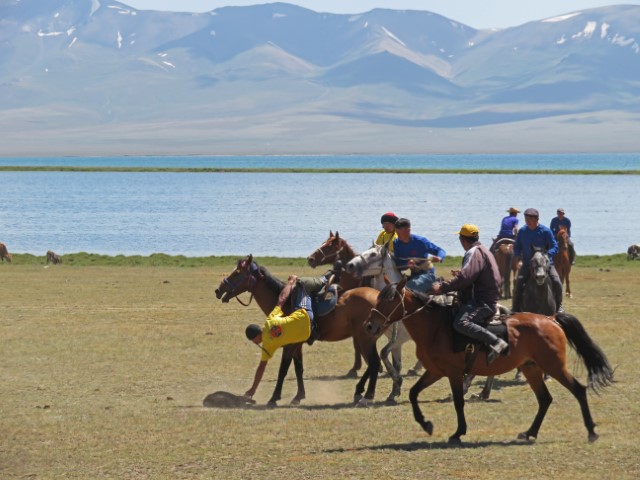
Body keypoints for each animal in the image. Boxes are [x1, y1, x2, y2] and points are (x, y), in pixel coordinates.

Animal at [215, 253, 396, 406]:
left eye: (237, 273)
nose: (218, 290)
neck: (286, 302)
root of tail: (379, 298)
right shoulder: (297, 345)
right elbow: (298, 369)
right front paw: (298, 396)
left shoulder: (289, 345)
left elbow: (283, 370)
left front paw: (274, 398)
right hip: (364, 338)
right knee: (372, 364)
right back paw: (360, 391)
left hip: (365, 339)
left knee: (374, 363)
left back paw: (367, 395)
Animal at [362, 276, 612, 444]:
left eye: (389, 299)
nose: (370, 326)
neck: (435, 328)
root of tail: (550, 319)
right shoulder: (434, 371)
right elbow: (414, 393)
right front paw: (426, 424)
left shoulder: (453, 373)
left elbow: (458, 401)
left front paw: (458, 432)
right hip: (531, 368)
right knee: (544, 399)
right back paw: (530, 432)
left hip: (554, 366)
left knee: (578, 390)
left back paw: (591, 431)